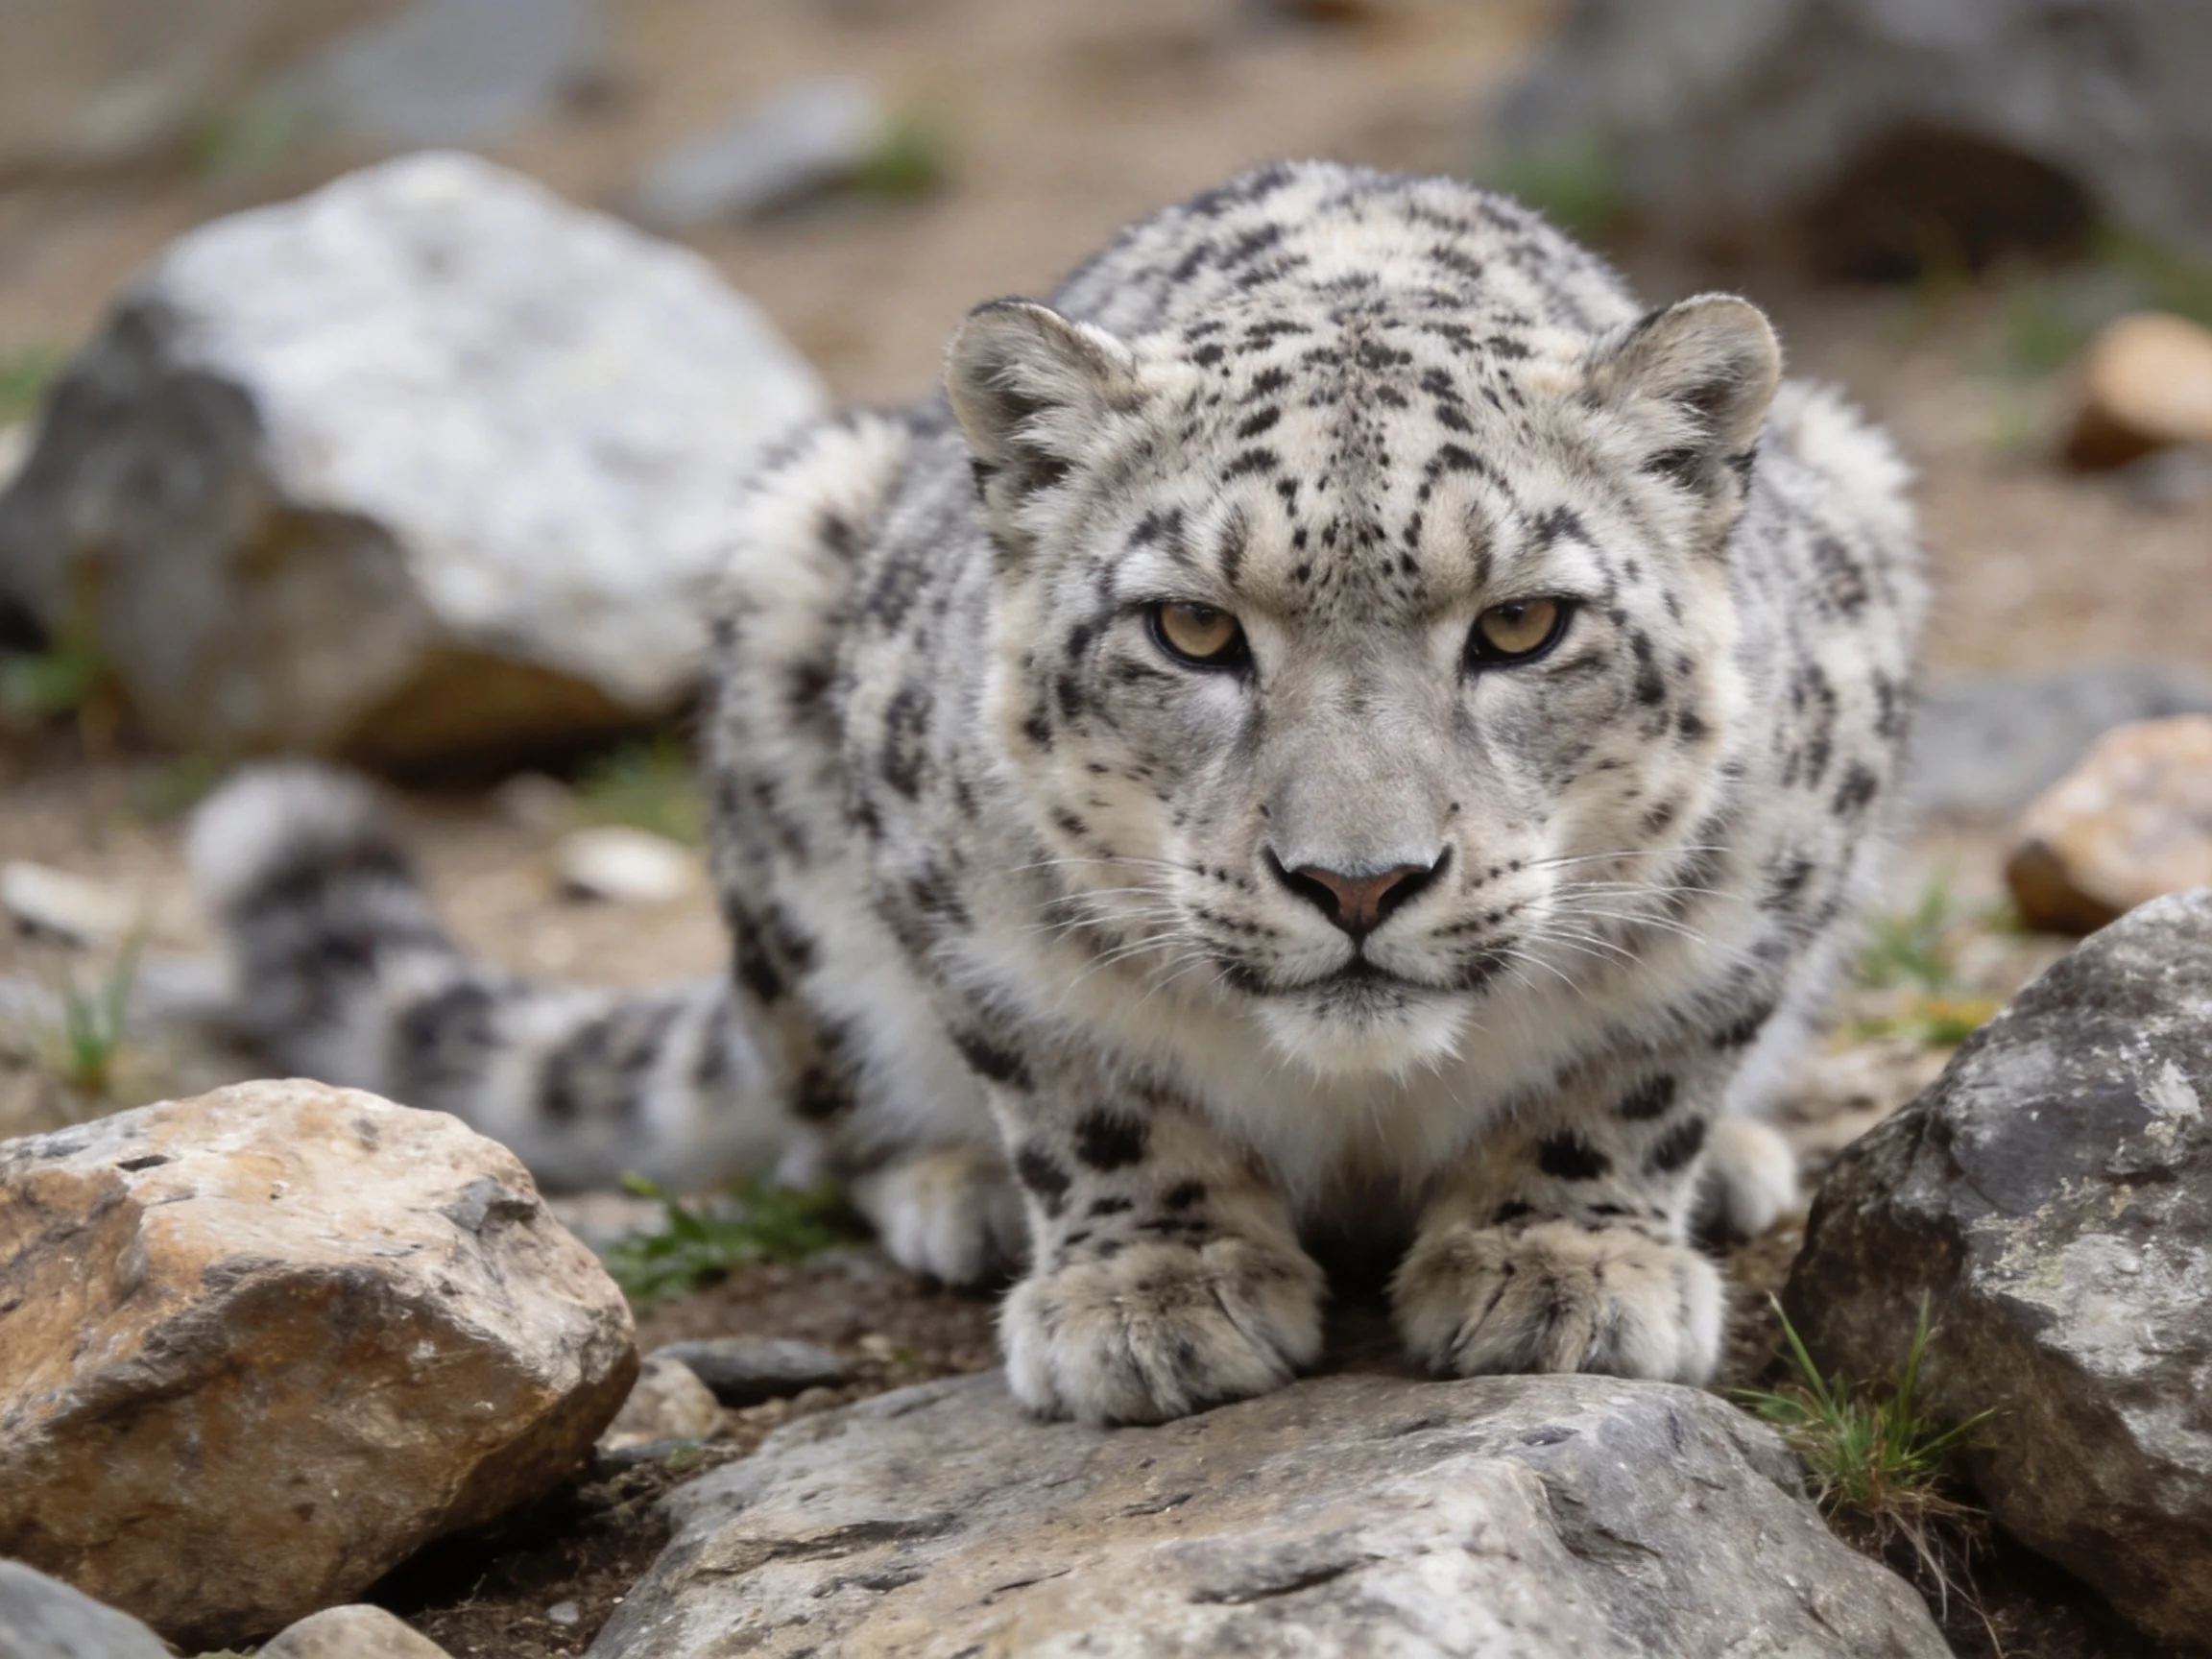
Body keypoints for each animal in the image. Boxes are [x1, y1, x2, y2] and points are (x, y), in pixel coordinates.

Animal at [190, 161, 1924, 1425]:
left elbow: (1634, 1071)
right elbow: (1084, 1087)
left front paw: (1562, 1264)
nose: (1356, 881)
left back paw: (1740, 1162)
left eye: (1521, 626)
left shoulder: (1770, 873)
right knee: (828, 1107)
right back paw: (950, 1185)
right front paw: (1154, 1296)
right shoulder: (966, 906)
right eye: (1192, 629)